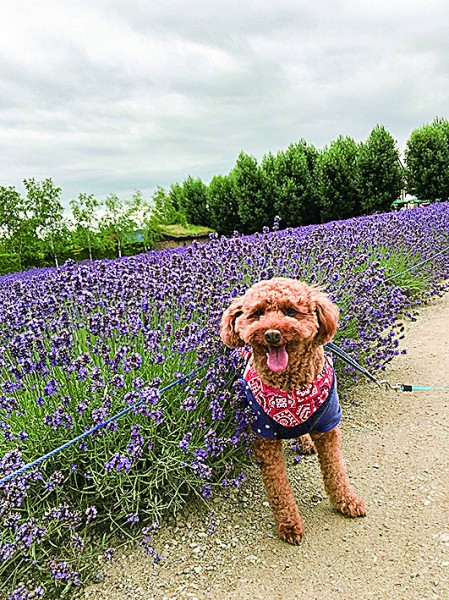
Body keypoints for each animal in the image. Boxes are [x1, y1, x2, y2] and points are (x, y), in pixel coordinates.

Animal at [219, 278, 366, 548]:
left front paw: (346, 501)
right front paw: (289, 524)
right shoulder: (265, 436)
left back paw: (305, 441)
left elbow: (336, 471)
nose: (272, 334)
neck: (290, 389)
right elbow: (279, 488)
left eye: (290, 311)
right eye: (257, 314)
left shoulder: (328, 426)